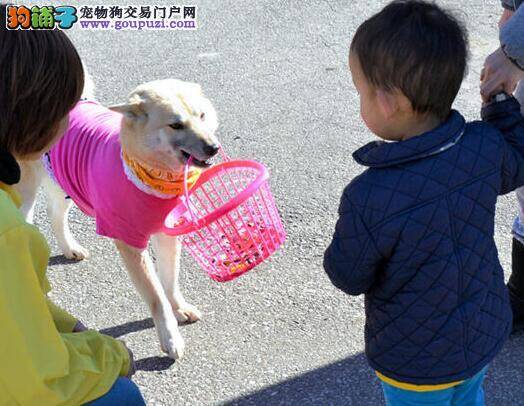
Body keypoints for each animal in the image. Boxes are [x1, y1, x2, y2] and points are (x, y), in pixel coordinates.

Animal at [16, 75, 220, 358]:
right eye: (176, 125)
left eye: (202, 116)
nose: (213, 148)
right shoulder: (129, 243)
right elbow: (157, 297)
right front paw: (170, 337)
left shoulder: (167, 234)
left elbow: (170, 280)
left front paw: (178, 307)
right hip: (26, 190)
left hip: (62, 180)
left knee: (55, 214)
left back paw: (69, 248)